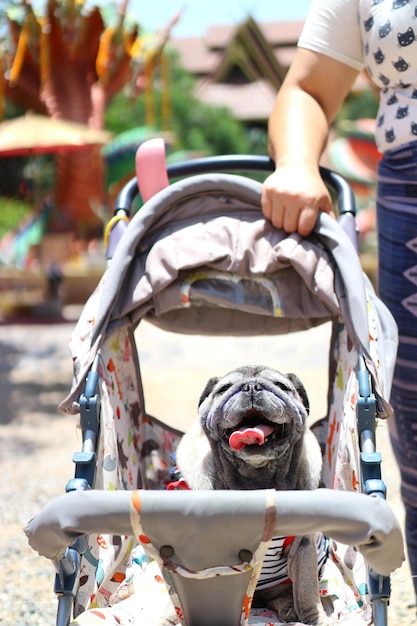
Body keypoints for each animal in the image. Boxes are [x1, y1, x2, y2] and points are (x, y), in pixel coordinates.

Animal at [174, 364, 334, 620]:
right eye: (224, 389)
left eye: (281, 386)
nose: (251, 386)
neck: (256, 480)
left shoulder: (304, 548)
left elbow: (307, 591)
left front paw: (315, 619)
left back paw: (288, 608)